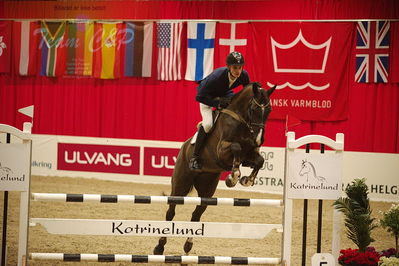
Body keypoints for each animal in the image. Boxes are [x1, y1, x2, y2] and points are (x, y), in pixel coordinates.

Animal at [153, 81, 276, 256]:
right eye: (254, 109)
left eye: (269, 110)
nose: (259, 140)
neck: (241, 121)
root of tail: (183, 147)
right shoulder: (222, 152)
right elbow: (236, 147)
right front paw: (233, 177)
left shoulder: (249, 155)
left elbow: (259, 160)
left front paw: (246, 180)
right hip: (180, 185)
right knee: (171, 211)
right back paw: (159, 247)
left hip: (207, 189)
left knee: (197, 214)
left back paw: (188, 246)